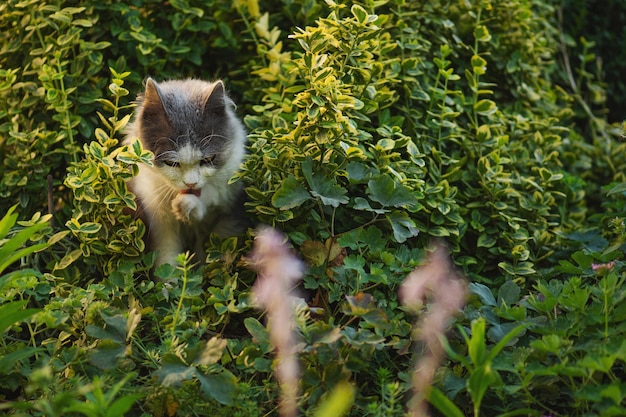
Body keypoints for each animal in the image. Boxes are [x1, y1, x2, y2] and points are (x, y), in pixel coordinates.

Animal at [123, 77, 247, 266]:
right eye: (171, 163)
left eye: (207, 160)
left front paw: (186, 205)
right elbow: (167, 260)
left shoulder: (229, 201)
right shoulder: (160, 222)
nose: (191, 183)